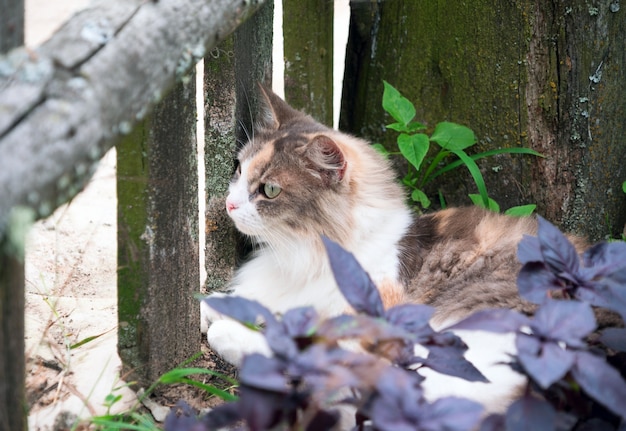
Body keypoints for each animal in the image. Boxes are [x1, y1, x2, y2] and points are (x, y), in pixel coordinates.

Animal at [200, 85, 576, 418]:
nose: (229, 204)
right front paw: (210, 308)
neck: (305, 251)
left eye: (270, 190)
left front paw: (226, 327)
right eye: (238, 169)